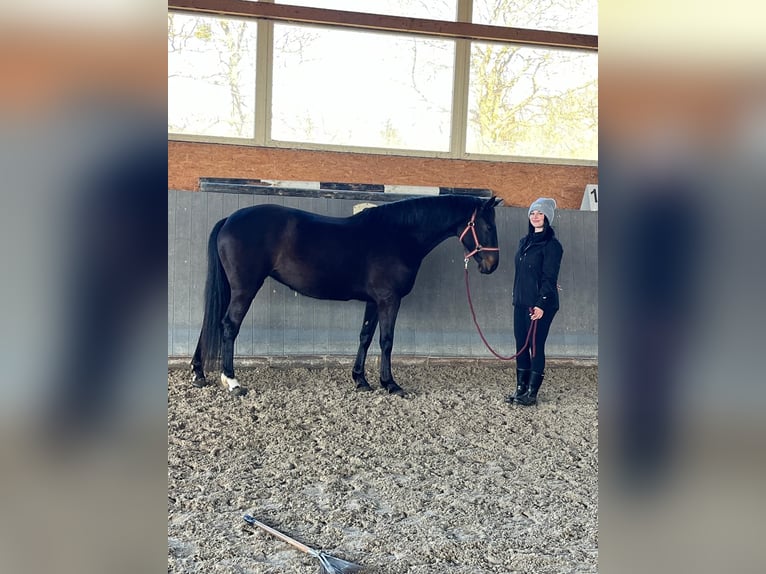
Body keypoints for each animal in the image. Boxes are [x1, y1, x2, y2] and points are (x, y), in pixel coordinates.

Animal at [190, 194, 502, 396]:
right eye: (488, 226)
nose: (492, 265)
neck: (398, 235)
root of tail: (229, 219)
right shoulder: (389, 300)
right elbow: (386, 341)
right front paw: (391, 384)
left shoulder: (374, 302)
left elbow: (365, 337)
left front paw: (360, 380)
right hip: (245, 289)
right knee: (229, 326)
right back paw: (232, 381)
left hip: (230, 288)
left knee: (210, 324)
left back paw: (198, 374)